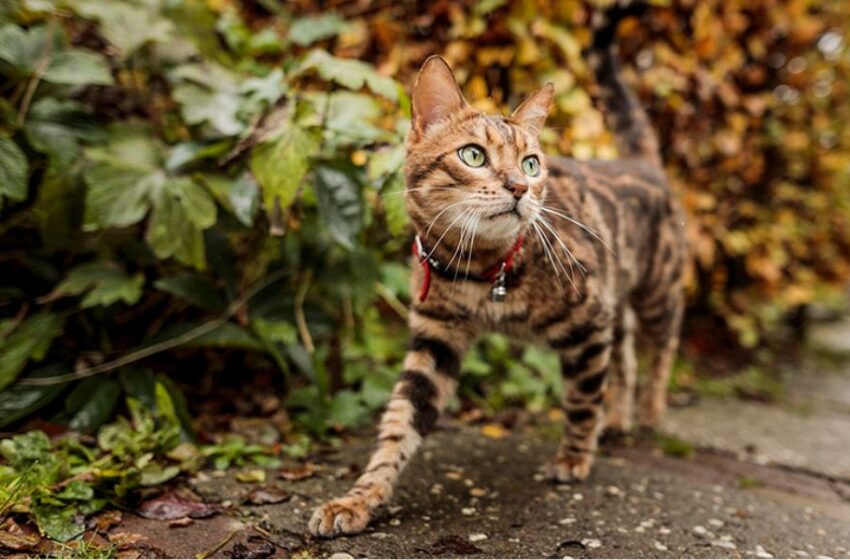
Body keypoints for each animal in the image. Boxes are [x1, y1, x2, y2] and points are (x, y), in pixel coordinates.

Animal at [308, 4, 684, 540]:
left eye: (531, 164)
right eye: (473, 155)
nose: (520, 187)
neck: (478, 272)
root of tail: (641, 160)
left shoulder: (588, 321)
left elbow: (582, 397)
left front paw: (574, 457)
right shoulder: (435, 337)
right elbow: (399, 423)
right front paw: (360, 498)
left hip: (656, 291)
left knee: (659, 349)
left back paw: (648, 413)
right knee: (626, 357)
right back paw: (618, 419)